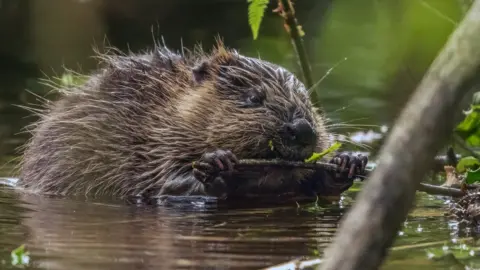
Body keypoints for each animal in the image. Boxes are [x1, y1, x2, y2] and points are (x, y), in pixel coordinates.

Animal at [15, 42, 368, 200]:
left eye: (309, 101)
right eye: (254, 98)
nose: (303, 130)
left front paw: (348, 161)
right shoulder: (143, 139)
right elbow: (160, 184)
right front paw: (217, 164)